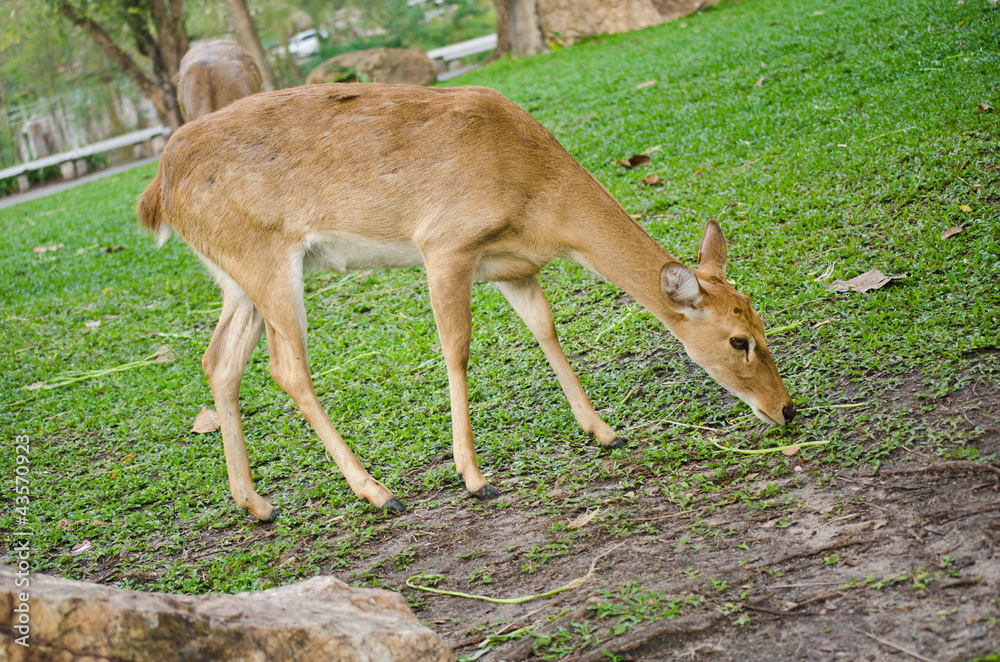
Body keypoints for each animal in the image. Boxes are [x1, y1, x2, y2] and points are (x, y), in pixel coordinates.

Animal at [139, 83, 796, 520]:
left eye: (761, 320)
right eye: (738, 340)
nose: (786, 409)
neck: (540, 200)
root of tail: (160, 191)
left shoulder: (511, 268)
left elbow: (545, 328)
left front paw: (604, 431)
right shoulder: (445, 244)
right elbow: (456, 348)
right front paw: (475, 478)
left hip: (235, 278)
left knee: (219, 360)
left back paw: (257, 503)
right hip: (268, 263)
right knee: (287, 367)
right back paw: (378, 492)